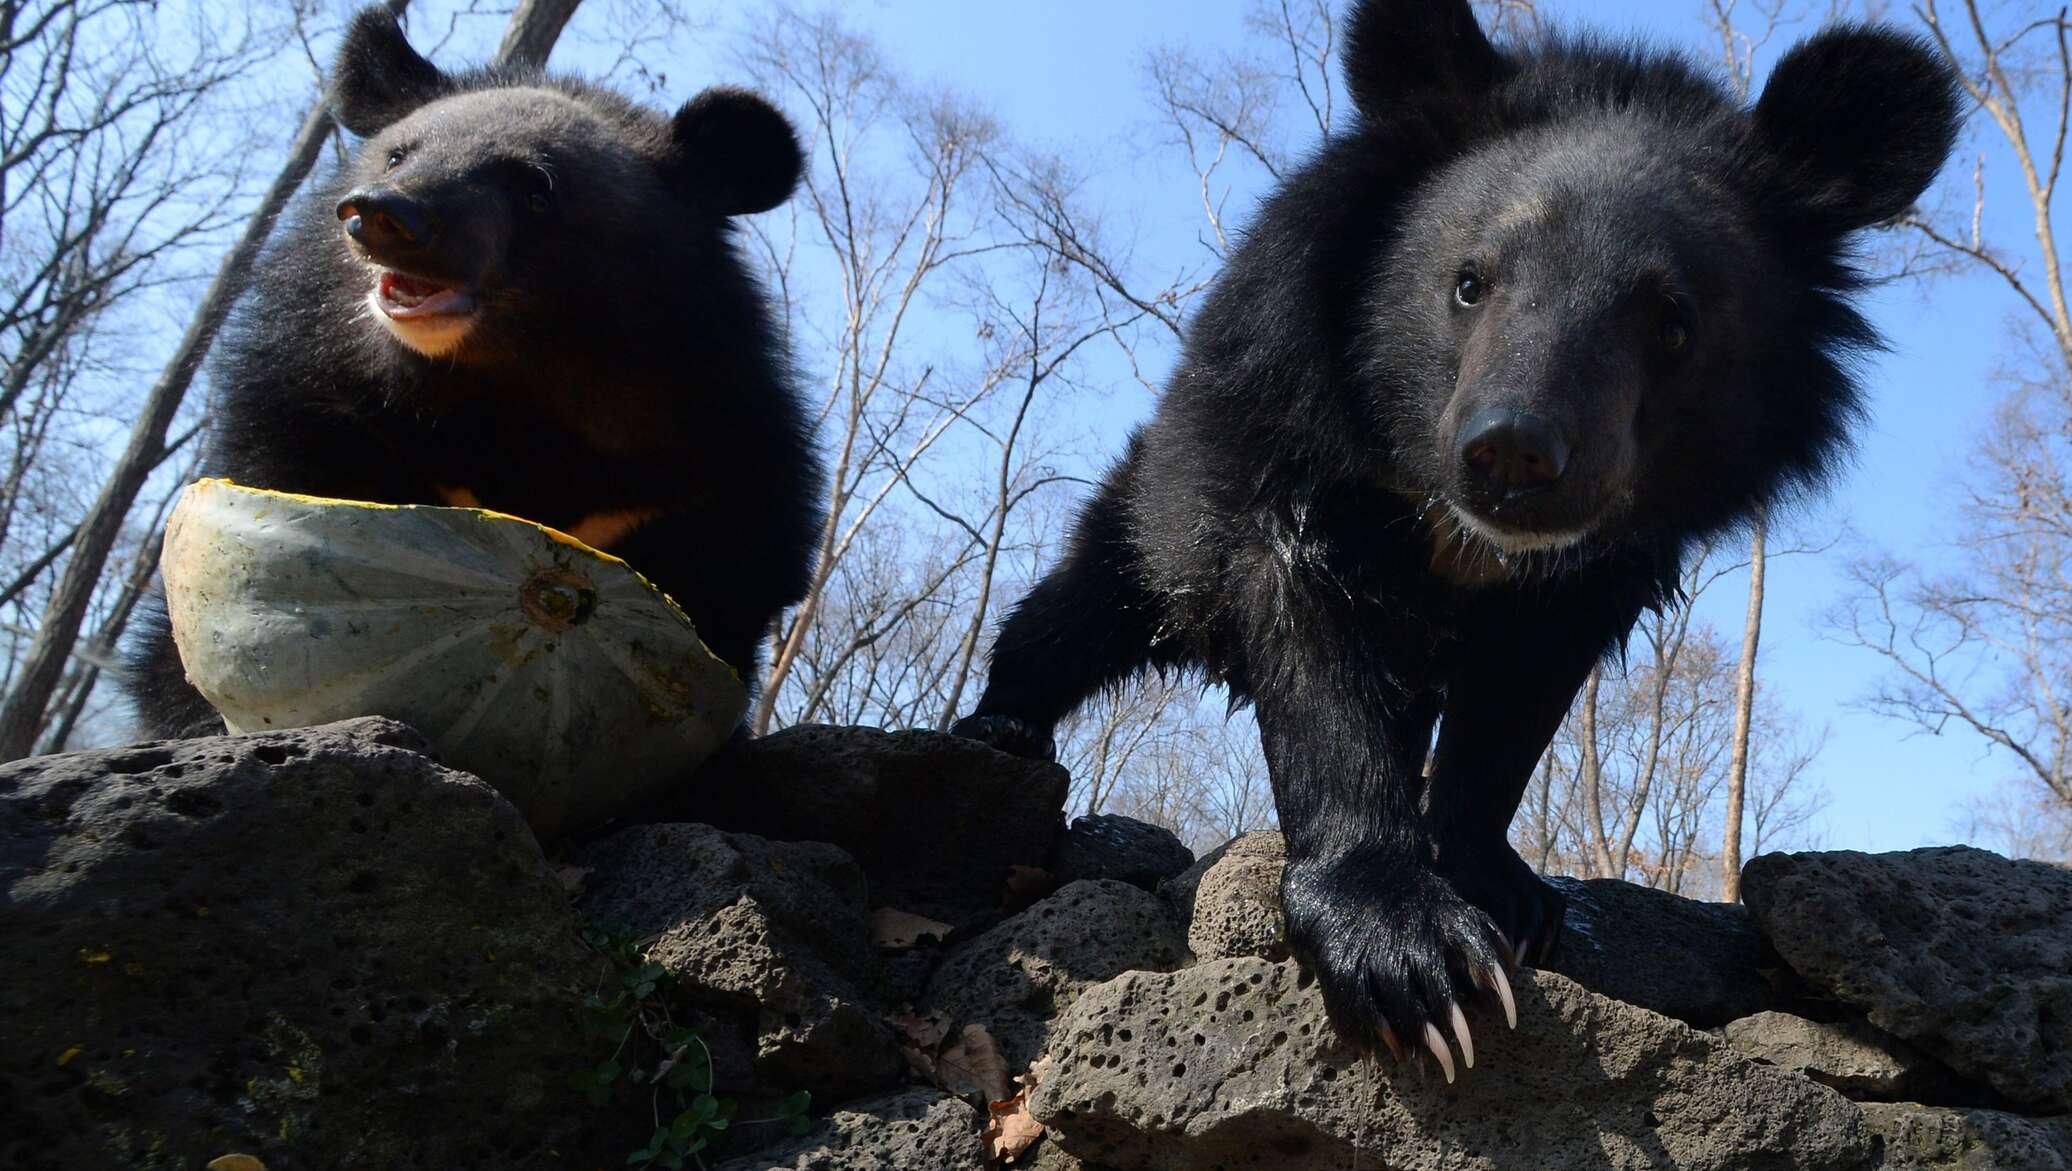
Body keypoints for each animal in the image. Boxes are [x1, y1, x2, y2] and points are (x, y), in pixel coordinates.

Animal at [123, 9, 824, 733]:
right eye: (400, 154)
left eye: (535, 185)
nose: (383, 214)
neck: (500, 382)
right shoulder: (319, 400)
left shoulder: (706, 456)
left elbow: (731, 579)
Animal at [953, 0, 1955, 1069]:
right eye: (1470, 282)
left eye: (1672, 322)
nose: (1513, 453)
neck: (1456, 527)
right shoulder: (1280, 436)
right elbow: (1308, 653)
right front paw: (1408, 955)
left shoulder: (1588, 576)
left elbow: (1513, 715)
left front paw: (1505, 891)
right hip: (1151, 506)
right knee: (1076, 609)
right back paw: (1002, 726)